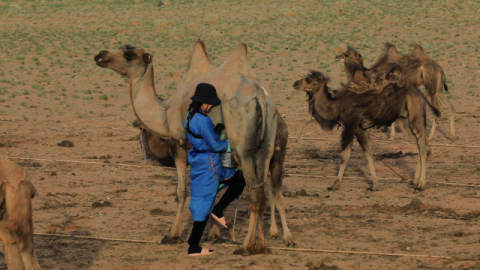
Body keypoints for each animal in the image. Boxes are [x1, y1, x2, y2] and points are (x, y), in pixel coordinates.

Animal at [94, 40, 296, 253]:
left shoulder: (178, 142)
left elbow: (182, 191)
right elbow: (214, 190)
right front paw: (214, 235)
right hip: (267, 145)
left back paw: (247, 246)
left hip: (243, 146)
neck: (165, 112)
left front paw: (172, 235)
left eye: (130, 54)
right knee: (263, 190)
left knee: (255, 192)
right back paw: (262, 245)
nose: (100, 55)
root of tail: (260, 96)